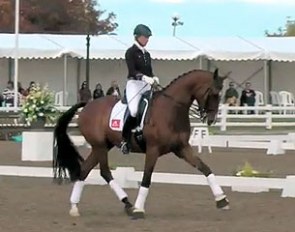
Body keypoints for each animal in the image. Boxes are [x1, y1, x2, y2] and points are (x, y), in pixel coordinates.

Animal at [53, 69, 230, 219]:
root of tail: (88, 105)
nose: (211, 120)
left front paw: (222, 199)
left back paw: (76, 207)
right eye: (213, 93)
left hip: (103, 146)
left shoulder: (182, 148)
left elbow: (205, 168)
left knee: (85, 170)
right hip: (100, 146)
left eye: (221, 94)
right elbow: (146, 178)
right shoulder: (153, 150)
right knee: (104, 172)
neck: (171, 109)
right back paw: (128, 204)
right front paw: (139, 209)